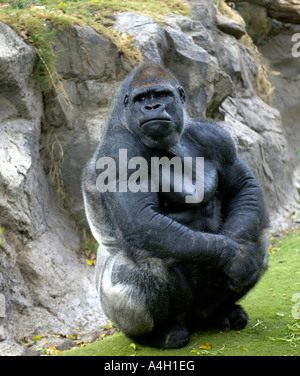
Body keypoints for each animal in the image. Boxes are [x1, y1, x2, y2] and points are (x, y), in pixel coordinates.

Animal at [81, 60, 268, 348]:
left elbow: (243, 188)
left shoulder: (213, 135)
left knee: (255, 234)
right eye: (142, 99)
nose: (152, 107)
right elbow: (143, 221)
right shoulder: (119, 151)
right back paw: (161, 333)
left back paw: (224, 311)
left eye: (162, 95)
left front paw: (239, 253)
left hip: (204, 308)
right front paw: (232, 254)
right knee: (141, 265)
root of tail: (196, 320)